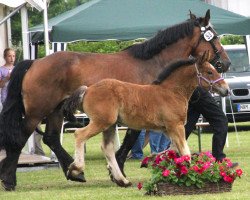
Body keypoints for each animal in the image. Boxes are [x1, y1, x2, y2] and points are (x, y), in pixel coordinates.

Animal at [62, 51, 229, 186]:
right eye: (209, 72)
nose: (226, 90)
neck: (172, 92)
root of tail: (87, 89)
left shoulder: (168, 129)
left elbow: (173, 149)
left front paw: (153, 160)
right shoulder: (176, 126)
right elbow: (185, 152)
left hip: (110, 125)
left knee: (107, 148)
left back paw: (122, 180)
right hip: (101, 122)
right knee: (79, 134)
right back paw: (75, 169)